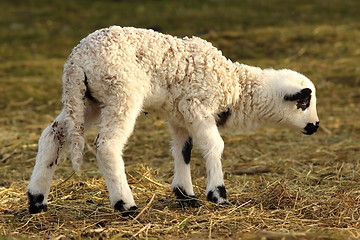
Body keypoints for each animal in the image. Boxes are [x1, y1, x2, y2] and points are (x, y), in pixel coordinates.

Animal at [28, 26, 320, 216]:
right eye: (304, 102)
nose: (315, 126)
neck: (235, 86)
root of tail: (77, 60)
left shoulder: (180, 114)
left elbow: (184, 149)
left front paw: (185, 194)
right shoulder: (197, 105)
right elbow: (214, 146)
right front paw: (217, 194)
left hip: (86, 99)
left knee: (53, 134)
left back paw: (36, 201)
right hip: (121, 92)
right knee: (106, 145)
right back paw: (125, 204)